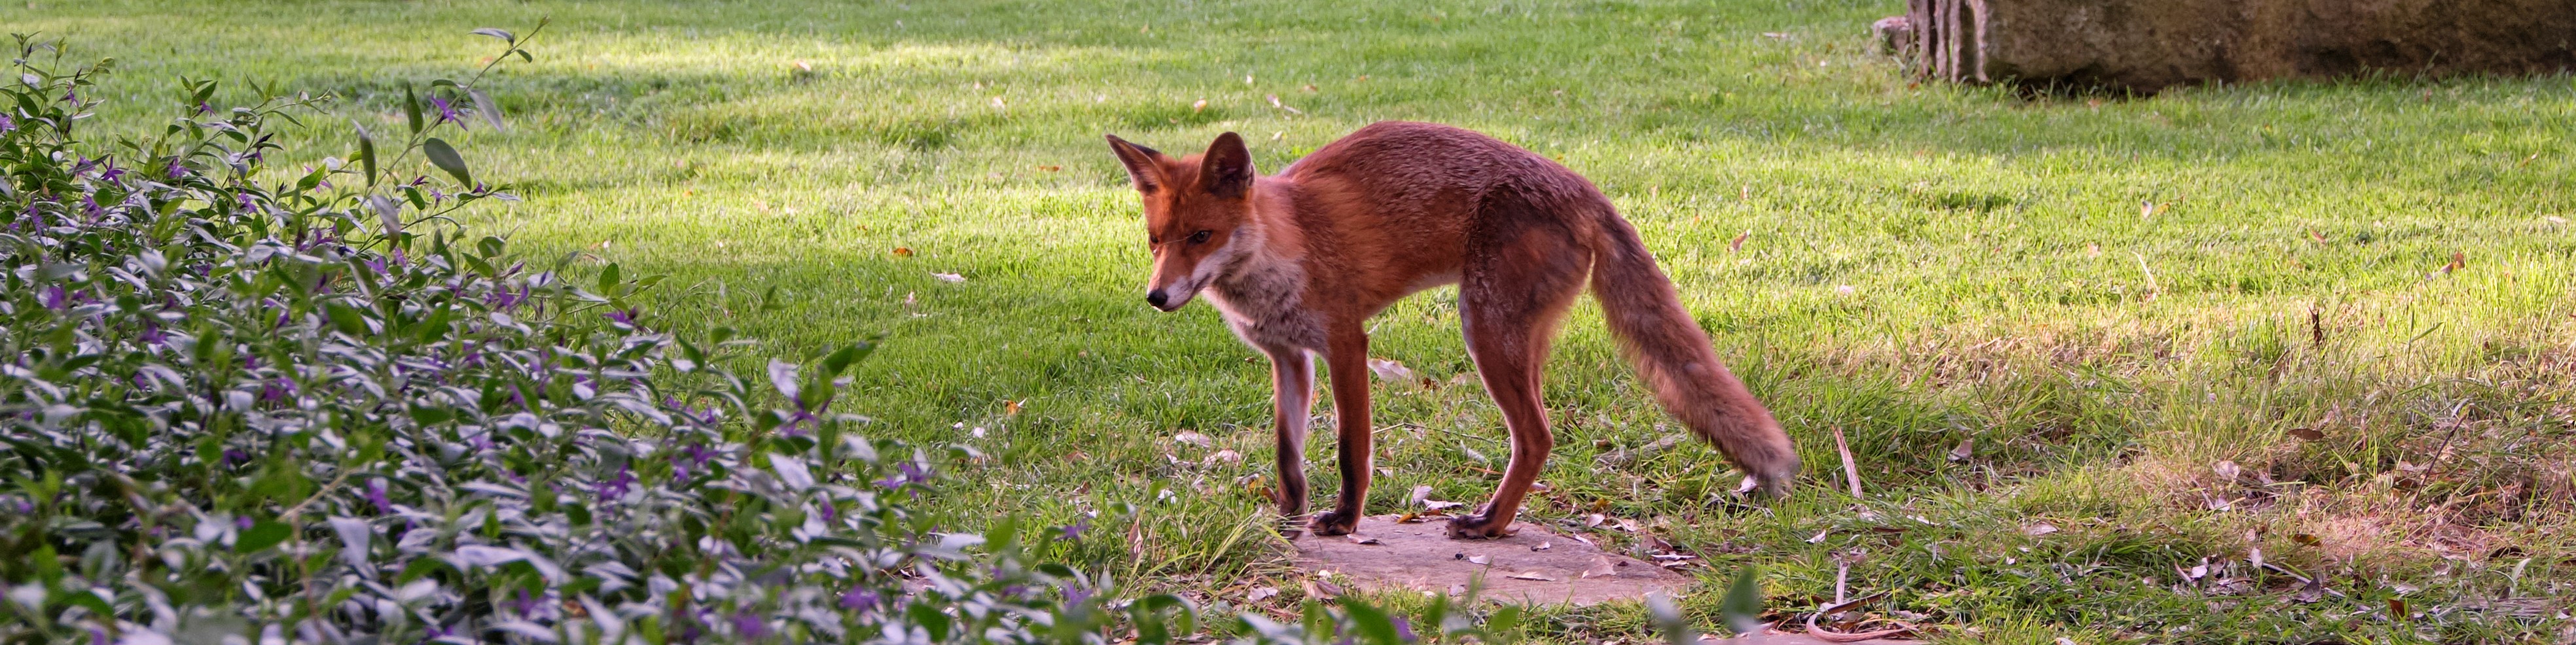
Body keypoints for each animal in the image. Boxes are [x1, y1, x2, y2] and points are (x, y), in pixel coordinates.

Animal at [1106, 121, 1798, 539]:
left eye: (1202, 237)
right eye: (1155, 241)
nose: (1157, 297)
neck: (1285, 243)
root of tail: (1583, 186)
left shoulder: (1346, 343)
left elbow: (1352, 450)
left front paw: (1345, 520)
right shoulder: (1288, 357)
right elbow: (1287, 453)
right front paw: (1288, 515)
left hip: (1485, 332)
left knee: (1539, 437)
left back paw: (1489, 525)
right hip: (1516, 339)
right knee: (1539, 436)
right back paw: (1496, 518)